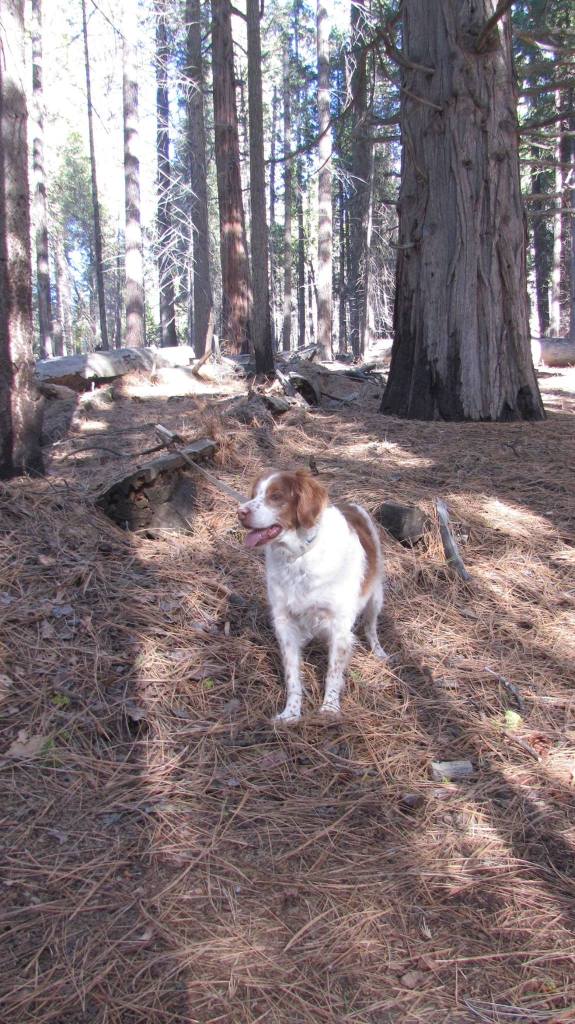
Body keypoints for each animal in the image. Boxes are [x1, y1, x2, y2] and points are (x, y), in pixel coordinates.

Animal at [238, 470, 387, 723]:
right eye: (254, 495)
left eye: (276, 496)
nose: (240, 512)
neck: (299, 556)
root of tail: (352, 504)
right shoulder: (284, 622)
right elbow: (292, 674)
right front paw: (291, 713)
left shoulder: (339, 626)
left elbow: (333, 672)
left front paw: (329, 708)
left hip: (375, 598)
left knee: (371, 628)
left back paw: (379, 651)